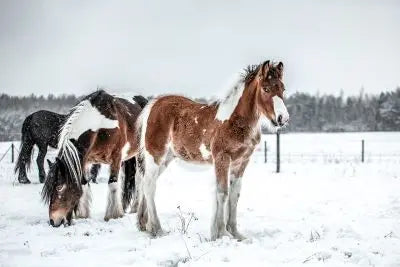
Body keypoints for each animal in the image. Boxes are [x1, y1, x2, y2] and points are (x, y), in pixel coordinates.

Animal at [41, 91, 147, 227]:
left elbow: (113, 184)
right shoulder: (85, 160)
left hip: (139, 154)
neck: (100, 125)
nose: (53, 221)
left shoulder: (116, 158)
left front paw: (113, 215)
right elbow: (84, 183)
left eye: (59, 187)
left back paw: (134, 207)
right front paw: (83, 214)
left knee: (139, 179)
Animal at [136, 60, 290, 241]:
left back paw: (144, 225)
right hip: (155, 155)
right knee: (149, 185)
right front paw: (223, 233)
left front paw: (234, 233)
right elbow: (222, 192)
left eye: (282, 88)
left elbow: (234, 195)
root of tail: (153, 104)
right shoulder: (222, 158)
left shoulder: (241, 162)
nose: (283, 118)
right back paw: (157, 228)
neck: (234, 121)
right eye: (266, 89)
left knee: (146, 182)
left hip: (166, 158)